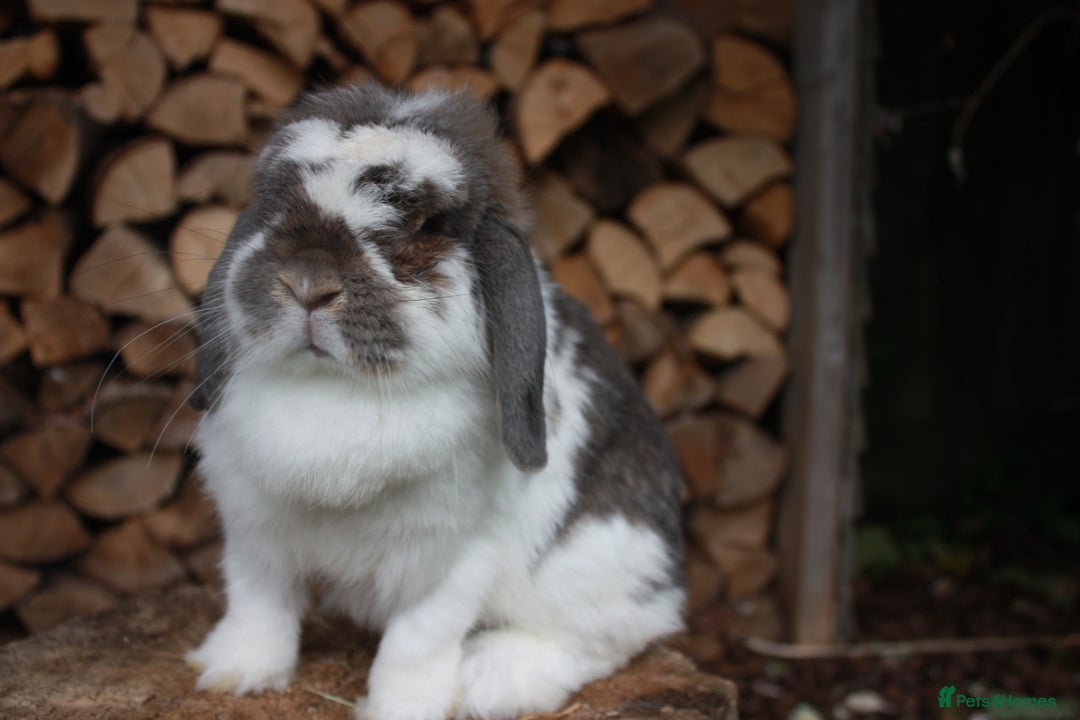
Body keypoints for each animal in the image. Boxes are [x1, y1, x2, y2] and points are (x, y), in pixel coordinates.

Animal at [184, 83, 685, 720]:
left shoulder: (451, 561)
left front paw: (399, 708)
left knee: (602, 639)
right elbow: (258, 606)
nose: (307, 284)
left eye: (424, 225)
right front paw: (234, 673)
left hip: (600, 561)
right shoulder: (253, 533)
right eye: (274, 207)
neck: (334, 390)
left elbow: (416, 643)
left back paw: (490, 677)